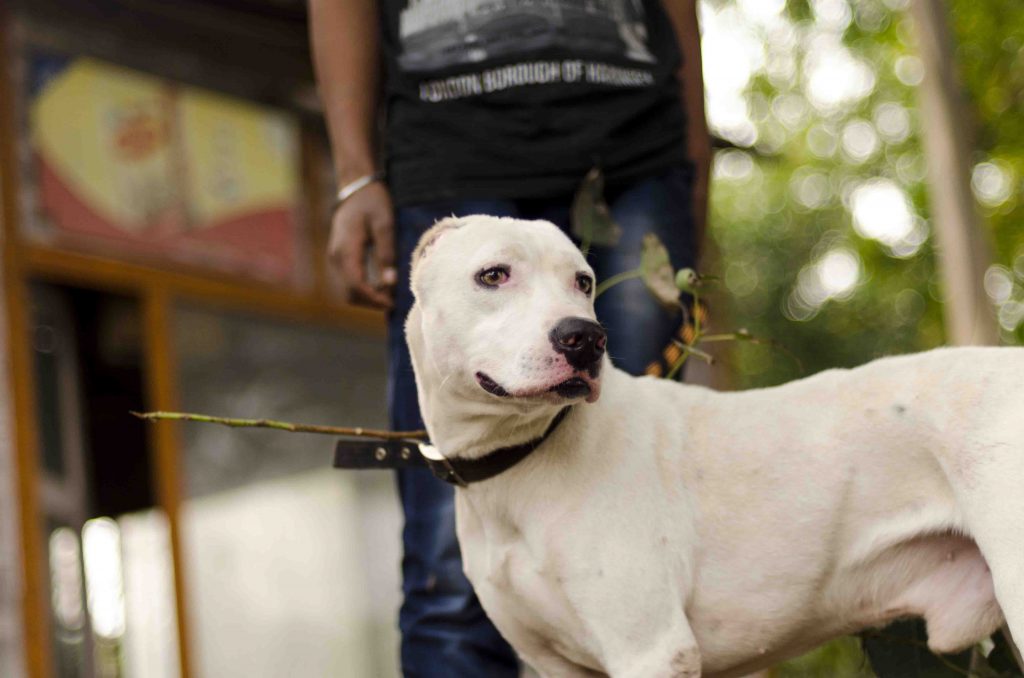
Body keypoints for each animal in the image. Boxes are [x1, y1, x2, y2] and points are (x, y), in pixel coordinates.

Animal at [403, 215, 1019, 678]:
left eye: (582, 282)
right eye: (493, 274)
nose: (585, 338)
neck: (517, 466)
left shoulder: (651, 650)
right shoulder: (558, 666)